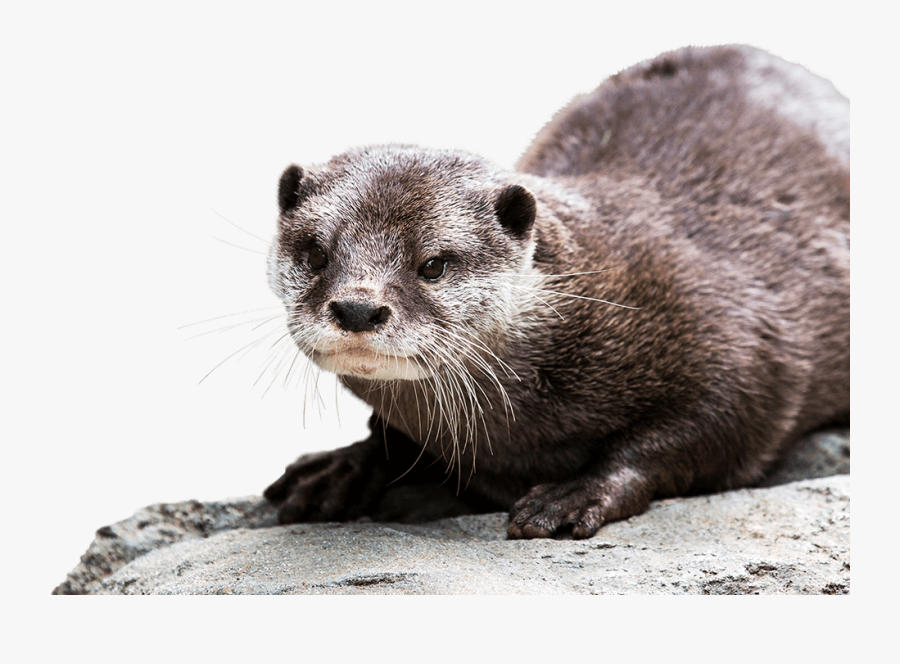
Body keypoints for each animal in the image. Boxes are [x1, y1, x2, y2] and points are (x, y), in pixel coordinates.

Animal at [262, 45, 849, 540]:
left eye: (432, 264)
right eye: (316, 254)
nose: (357, 308)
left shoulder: (746, 349)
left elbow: (705, 431)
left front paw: (574, 494)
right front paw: (343, 467)